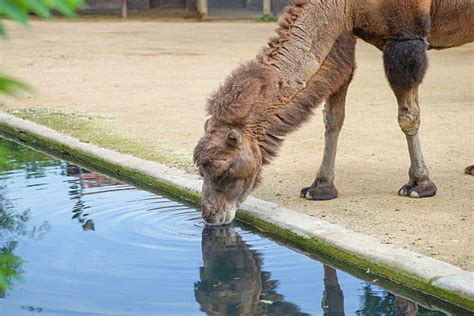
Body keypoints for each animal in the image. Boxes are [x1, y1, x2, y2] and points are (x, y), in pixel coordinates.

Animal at [193, 0, 474, 227]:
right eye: (201, 170)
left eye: (223, 169)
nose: (209, 216)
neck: (343, 5)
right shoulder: (344, 34)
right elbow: (332, 118)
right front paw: (321, 187)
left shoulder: (406, 38)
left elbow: (408, 117)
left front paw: (420, 184)